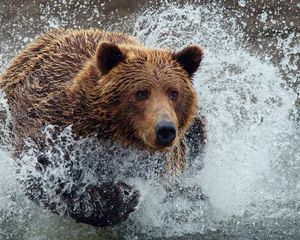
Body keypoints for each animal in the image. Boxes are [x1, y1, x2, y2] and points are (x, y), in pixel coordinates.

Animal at [0, 29, 206, 227]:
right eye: (141, 93)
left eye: (174, 92)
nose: (165, 130)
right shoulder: (55, 125)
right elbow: (43, 173)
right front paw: (122, 195)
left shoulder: (160, 162)